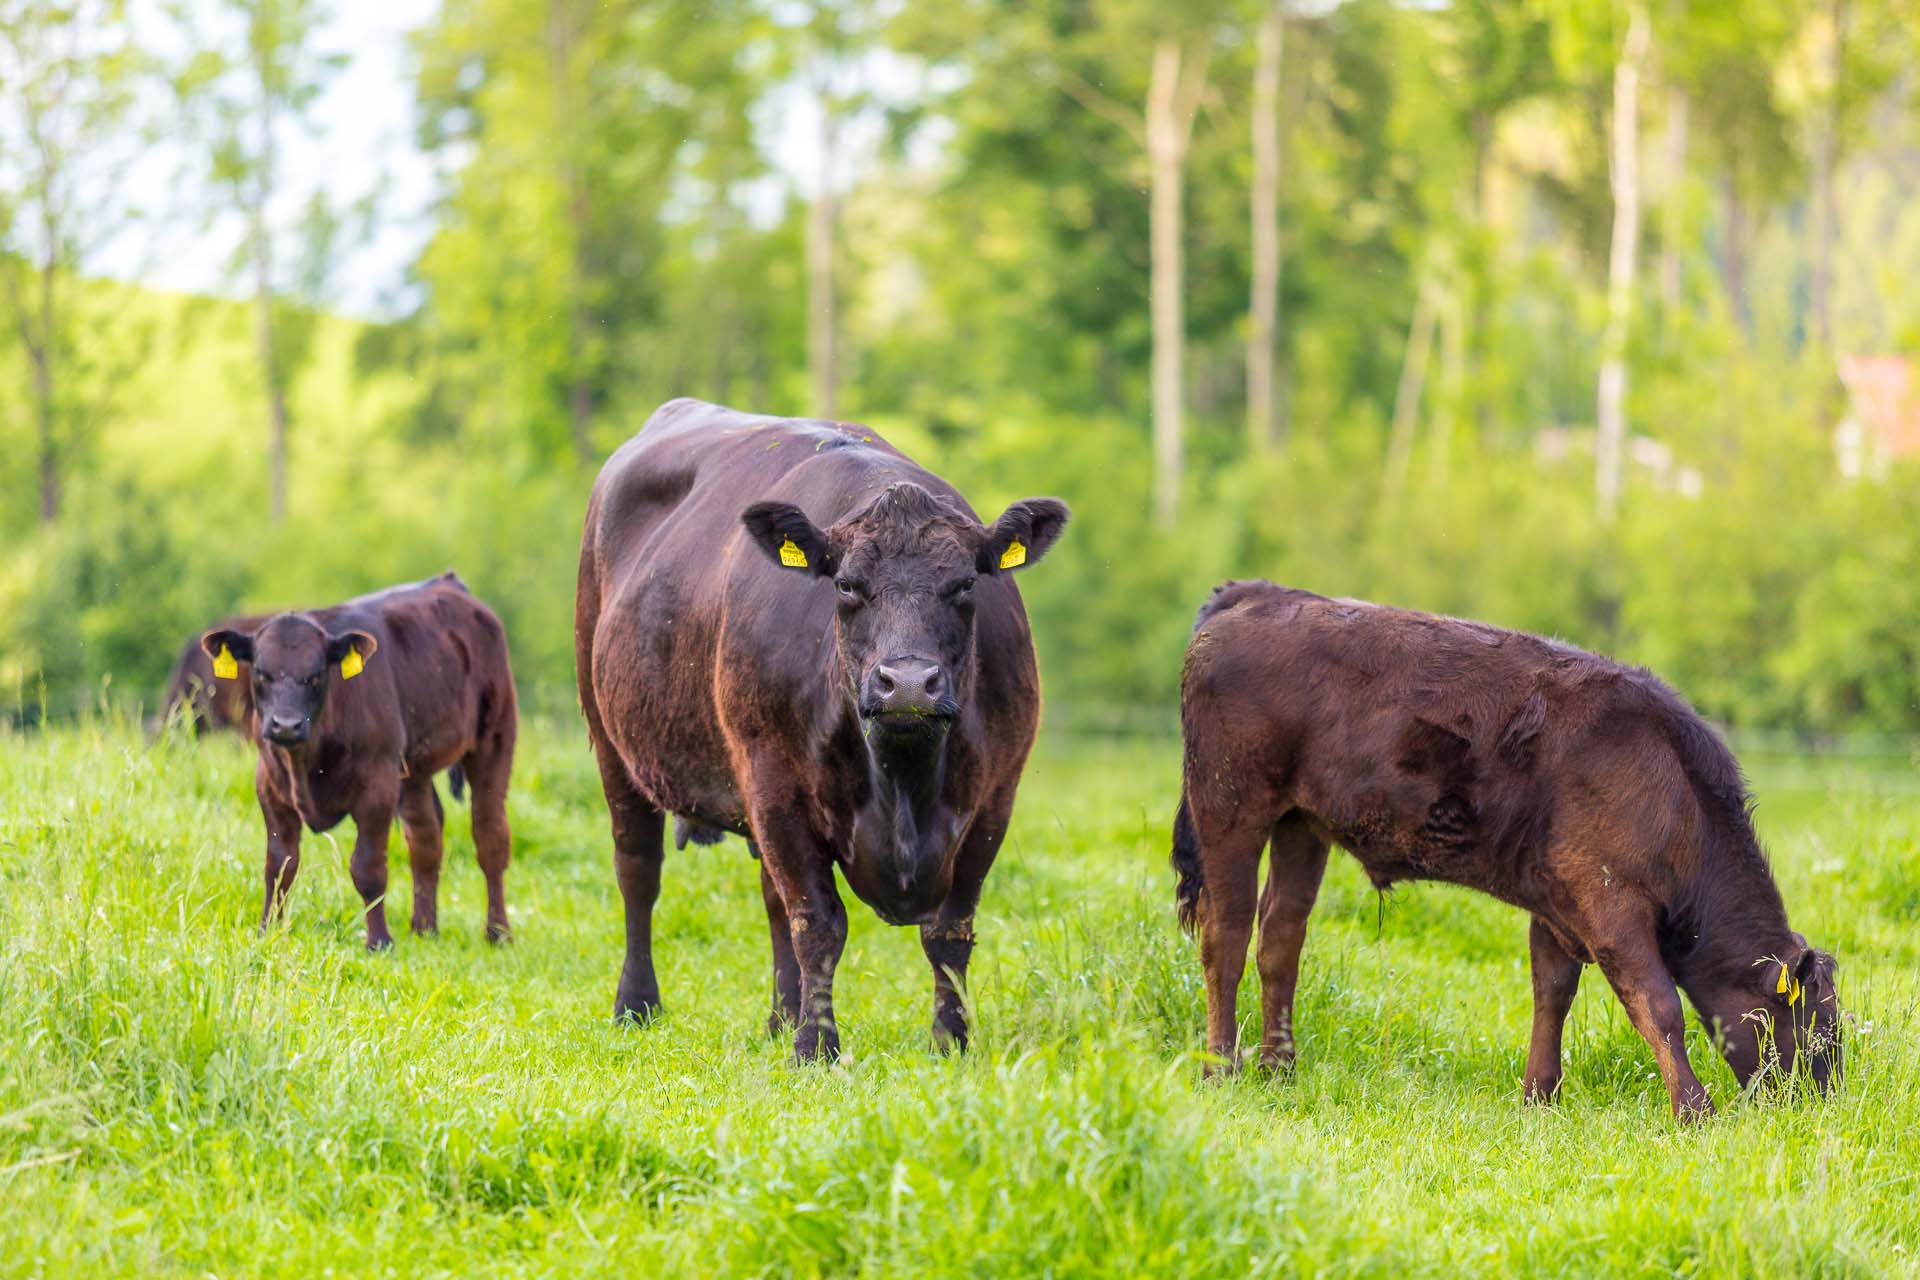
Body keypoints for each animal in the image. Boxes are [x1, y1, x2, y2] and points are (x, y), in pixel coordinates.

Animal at [202, 575, 518, 948]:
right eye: (262, 673)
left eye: (316, 675)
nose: (286, 725)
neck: (306, 762)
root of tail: (448, 582)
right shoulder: (270, 785)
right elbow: (279, 865)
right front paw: (268, 931)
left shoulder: (377, 788)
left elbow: (368, 868)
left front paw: (379, 941)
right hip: (414, 772)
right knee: (425, 837)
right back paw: (424, 928)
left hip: (494, 736)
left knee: (490, 835)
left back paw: (498, 932)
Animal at [576, 397, 1075, 1059]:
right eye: (845, 585)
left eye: (966, 583)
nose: (907, 684)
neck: (903, 786)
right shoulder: (775, 786)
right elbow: (818, 922)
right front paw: (816, 1046)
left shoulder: (995, 797)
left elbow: (950, 930)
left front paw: (951, 1040)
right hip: (612, 741)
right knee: (638, 870)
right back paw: (637, 1004)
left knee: (769, 899)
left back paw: (780, 1016)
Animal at [1175, 583, 1835, 1120]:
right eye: (1818, 1027)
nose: (1823, 1102)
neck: (1674, 787)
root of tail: (1258, 593)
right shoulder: (1610, 904)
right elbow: (1659, 1005)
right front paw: (1696, 1112)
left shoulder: (1560, 907)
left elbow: (1553, 995)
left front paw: (1539, 1096)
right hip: (1230, 806)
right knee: (1226, 935)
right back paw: (1220, 1070)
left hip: (1300, 825)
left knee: (1280, 939)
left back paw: (1279, 1069)